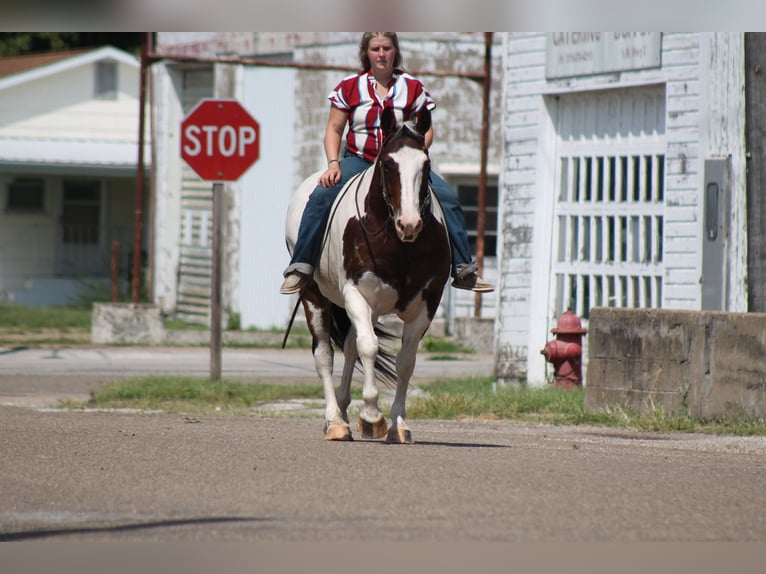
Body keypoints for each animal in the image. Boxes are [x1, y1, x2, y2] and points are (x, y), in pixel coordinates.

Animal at [284, 106, 450, 444]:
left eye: (425, 164)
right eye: (387, 164)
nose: (409, 224)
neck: (399, 246)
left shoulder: (426, 303)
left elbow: (405, 360)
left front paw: (398, 424)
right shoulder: (355, 294)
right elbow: (369, 347)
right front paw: (373, 415)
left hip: (370, 309)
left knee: (350, 347)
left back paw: (345, 410)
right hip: (316, 298)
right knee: (325, 353)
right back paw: (335, 421)